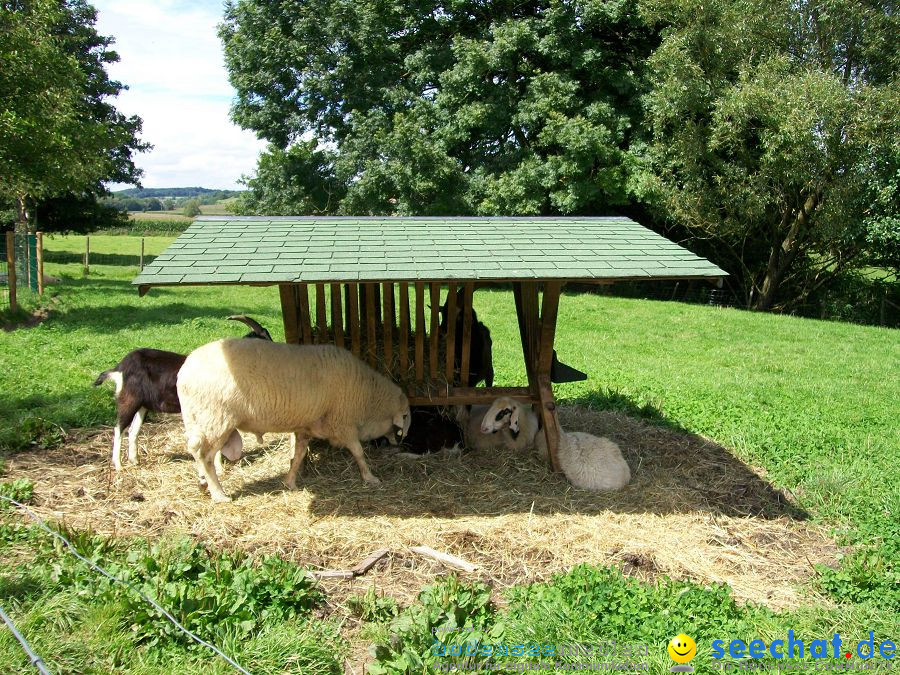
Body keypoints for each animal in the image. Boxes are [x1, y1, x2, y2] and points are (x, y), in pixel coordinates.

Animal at [95, 316, 272, 470]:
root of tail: (120, 368)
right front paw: (220, 469)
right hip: (129, 400)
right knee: (118, 428)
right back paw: (118, 466)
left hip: (143, 405)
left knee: (133, 430)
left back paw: (134, 461)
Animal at [175, 338, 412, 502]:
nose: (399, 442)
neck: (368, 397)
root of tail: (184, 372)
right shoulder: (343, 423)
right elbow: (358, 452)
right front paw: (370, 478)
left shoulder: (306, 427)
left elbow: (298, 455)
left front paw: (289, 482)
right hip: (216, 419)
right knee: (204, 456)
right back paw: (218, 494)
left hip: (199, 420)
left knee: (196, 450)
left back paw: (203, 483)